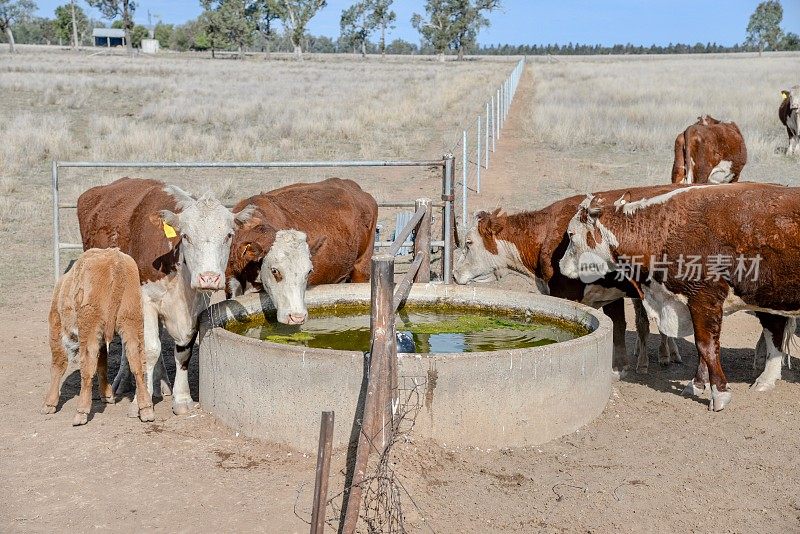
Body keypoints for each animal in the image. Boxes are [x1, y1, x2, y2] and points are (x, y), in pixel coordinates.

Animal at [43, 248, 155, 428]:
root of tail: (115, 258)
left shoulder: (56, 327)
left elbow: (58, 364)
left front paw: (49, 404)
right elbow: (102, 363)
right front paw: (107, 394)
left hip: (89, 327)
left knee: (87, 366)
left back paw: (81, 413)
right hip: (132, 322)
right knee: (137, 363)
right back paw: (146, 410)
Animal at [76, 178, 255, 416]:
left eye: (228, 235)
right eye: (186, 236)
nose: (208, 278)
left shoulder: (196, 306)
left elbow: (183, 350)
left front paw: (182, 398)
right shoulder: (145, 301)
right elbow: (149, 349)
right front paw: (141, 401)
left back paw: (162, 382)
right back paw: (124, 380)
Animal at [450, 191, 680, 374]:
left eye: (468, 243)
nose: (453, 273)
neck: (544, 238)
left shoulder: (569, 294)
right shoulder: (610, 293)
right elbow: (618, 325)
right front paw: (620, 365)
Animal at [560, 182, 800, 412]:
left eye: (571, 235)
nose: (561, 266)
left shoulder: (704, 299)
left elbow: (706, 346)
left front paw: (719, 394)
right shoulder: (690, 303)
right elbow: (702, 348)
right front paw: (697, 384)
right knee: (775, 332)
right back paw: (766, 380)